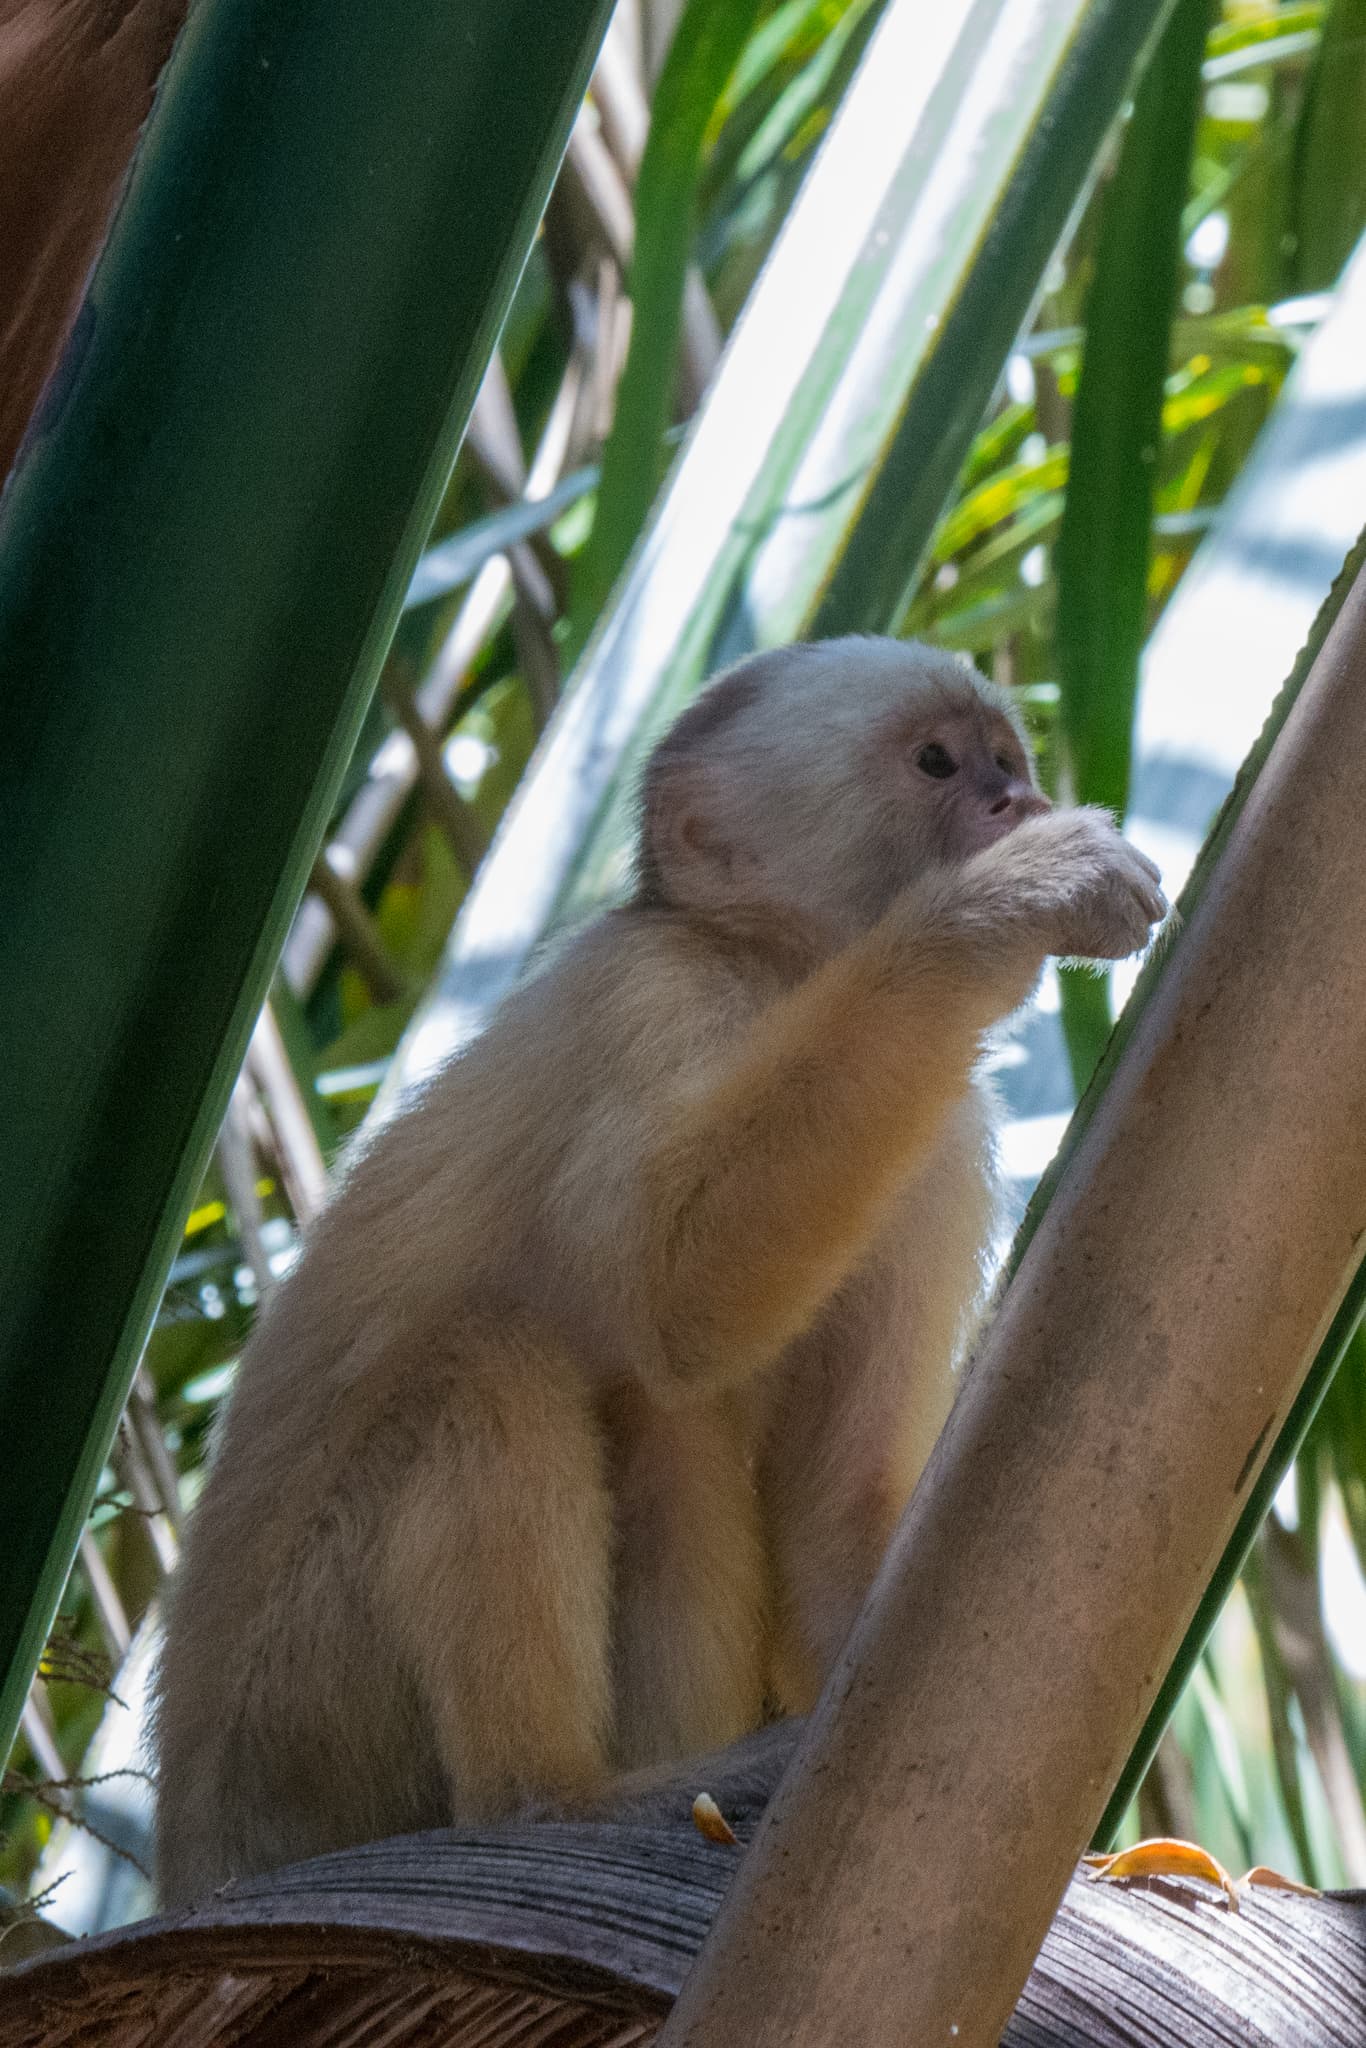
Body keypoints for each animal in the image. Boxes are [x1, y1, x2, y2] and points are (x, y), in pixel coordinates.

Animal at [151, 635, 1166, 1905]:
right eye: (939, 763)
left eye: (1004, 760)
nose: (1015, 804)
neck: (779, 974)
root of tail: (193, 1865)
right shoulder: (651, 994)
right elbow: (675, 1294)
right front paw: (999, 907)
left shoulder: (940, 1152)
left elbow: (832, 1496)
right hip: (293, 1735)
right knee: (505, 1366)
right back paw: (546, 1801)